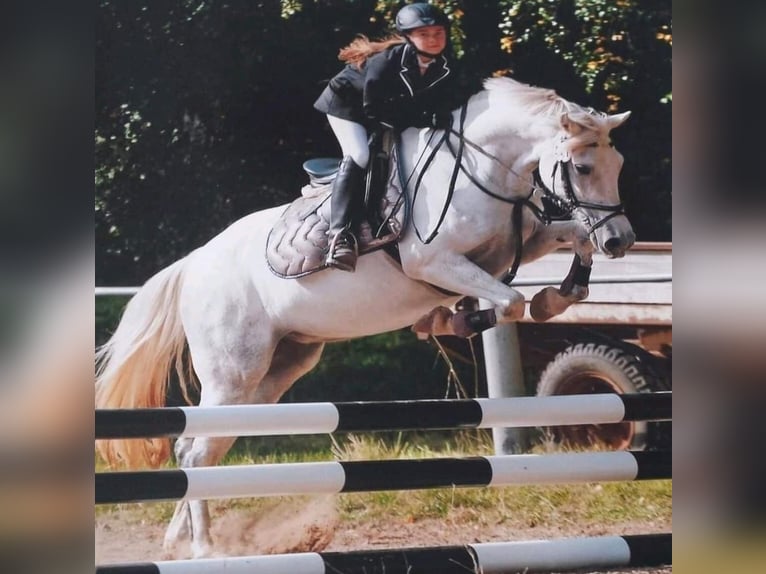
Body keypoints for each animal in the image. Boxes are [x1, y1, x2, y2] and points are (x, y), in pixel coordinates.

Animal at [96, 76, 636, 560]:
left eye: (618, 165)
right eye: (582, 166)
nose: (621, 241)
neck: (483, 168)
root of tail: (193, 264)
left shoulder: (514, 244)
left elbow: (570, 239)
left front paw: (559, 295)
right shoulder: (433, 262)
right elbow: (509, 301)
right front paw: (453, 321)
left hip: (275, 373)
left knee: (202, 448)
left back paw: (179, 541)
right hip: (234, 372)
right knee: (194, 451)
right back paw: (204, 548)